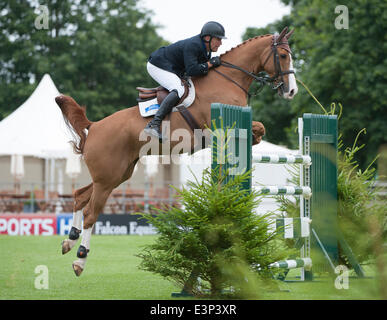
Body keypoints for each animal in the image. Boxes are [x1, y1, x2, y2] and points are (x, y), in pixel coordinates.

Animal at [56, 26, 298, 276]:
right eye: (282, 55)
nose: (291, 91)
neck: (228, 80)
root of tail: (93, 126)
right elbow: (257, 128)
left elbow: (259, 129)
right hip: (107, 178)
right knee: (90, 213)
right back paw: (80, 258)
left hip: (117, 175)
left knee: (79, 196)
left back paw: (69, 240)